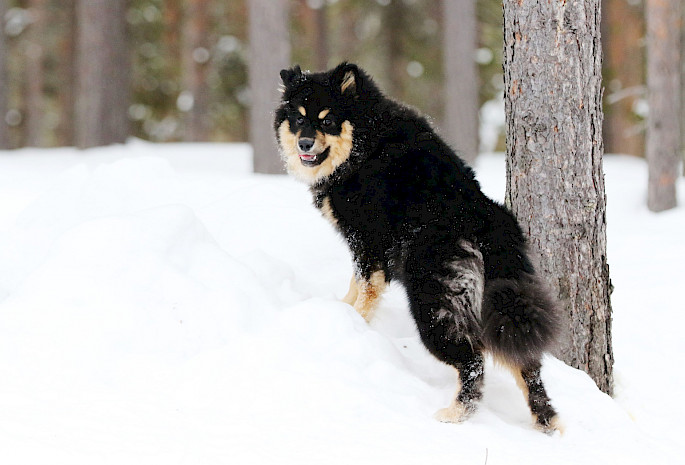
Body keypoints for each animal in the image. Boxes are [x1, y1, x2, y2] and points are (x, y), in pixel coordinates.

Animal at [274, 62, 563, 433]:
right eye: (298, 118)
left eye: (327, 120)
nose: (305, 142)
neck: (365, 144)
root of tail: (486, 223)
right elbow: (355, 284)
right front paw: (341, 309)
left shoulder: (366, 241)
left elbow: (364, 287)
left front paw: (351, 320)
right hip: (502, 307)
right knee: (528, 367)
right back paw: (548, 423)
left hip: (433, 308)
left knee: (473, 361)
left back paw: (456, 413)